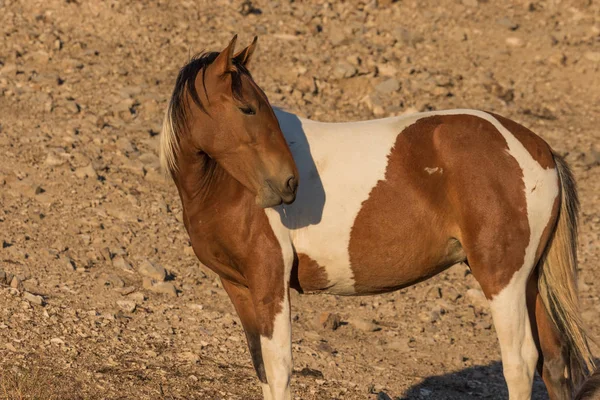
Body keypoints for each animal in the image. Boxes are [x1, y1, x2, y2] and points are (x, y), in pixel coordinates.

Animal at [158, 36, 596, 398]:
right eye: (247, 108)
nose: (287, 183)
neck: (223, 187)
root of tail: (539, 148)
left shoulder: (269, 280)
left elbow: (279, 369)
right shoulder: (238, 286)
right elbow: (263, 369)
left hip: (503, 278)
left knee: (520, 363)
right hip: (530, 280)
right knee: (553, 364)